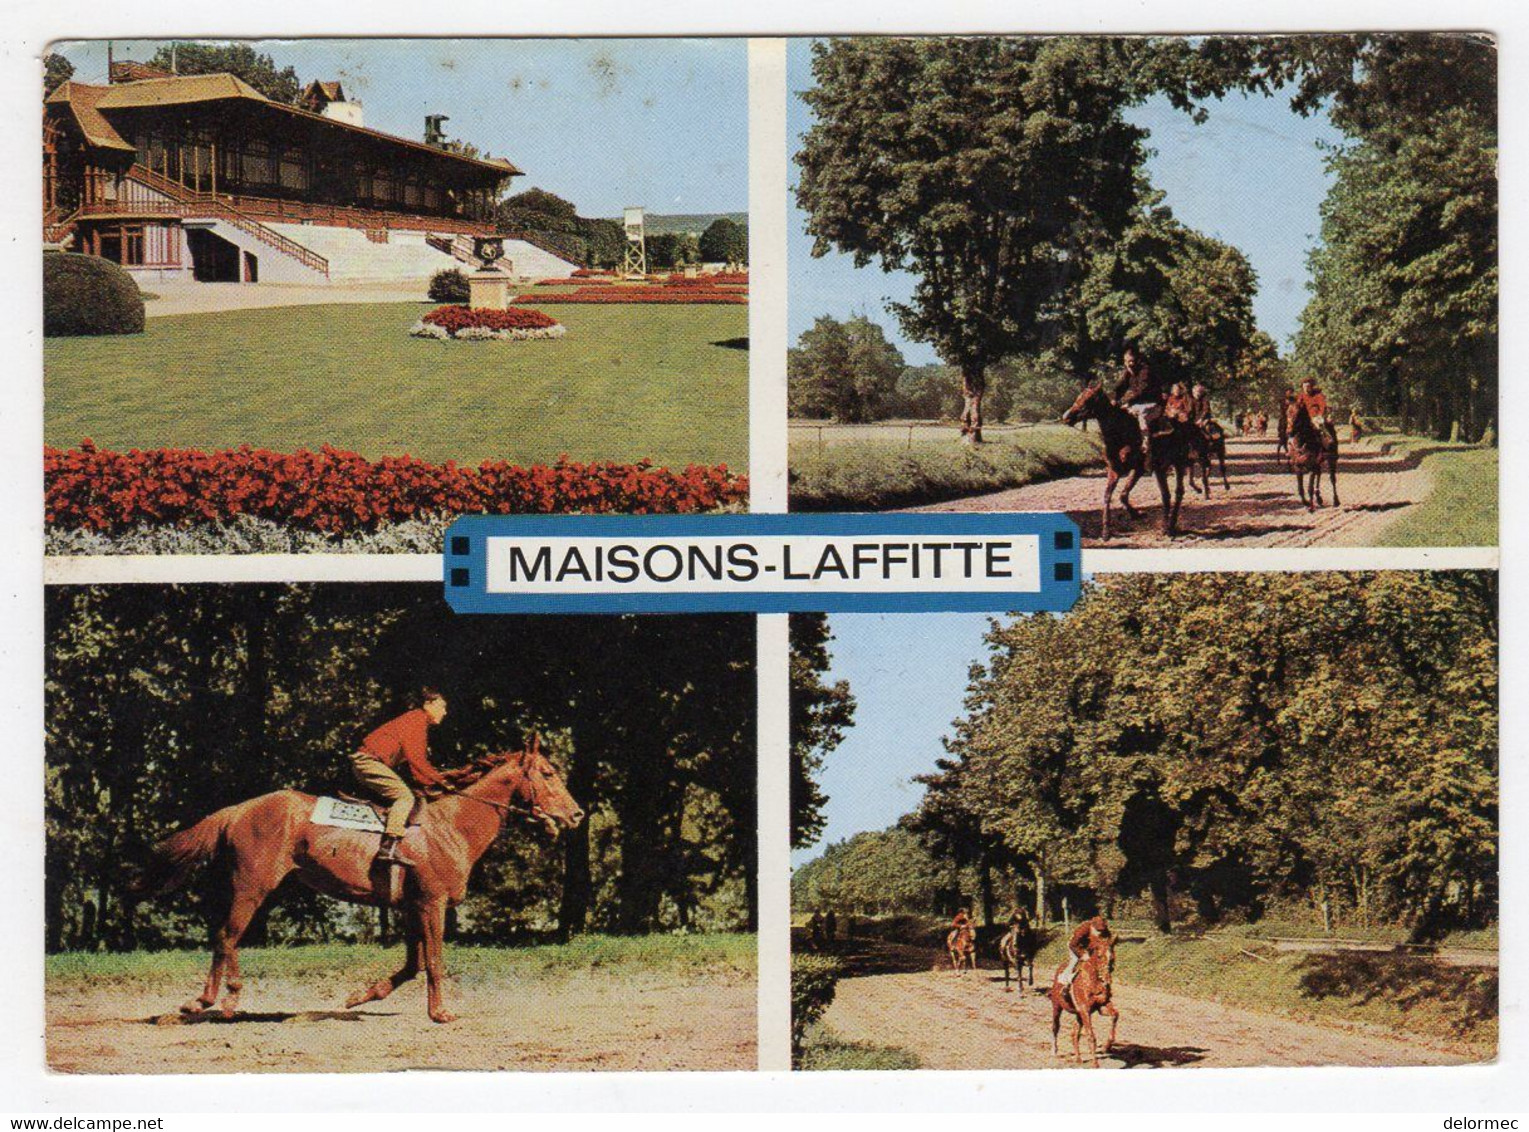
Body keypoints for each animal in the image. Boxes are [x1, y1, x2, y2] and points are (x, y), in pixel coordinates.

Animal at [125, 743, 584, 1027]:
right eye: (547, 772)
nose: (577, 814)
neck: (450, 827)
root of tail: (239, 809)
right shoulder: (432, 904)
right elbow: (435, 962)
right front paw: (440, 1013)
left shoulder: (411, 907)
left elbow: (414, 965)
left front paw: (359, 997)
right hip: (251, 886)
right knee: (227, 935)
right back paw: (213, 1001)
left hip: (257, 889)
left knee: (228, 937)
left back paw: (222, 1001)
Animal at [1045, 930, 1119, 1058]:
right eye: (1099, 956)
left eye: (1112, 958)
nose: (1107, 980)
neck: (1093, 982)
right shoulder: (1084, 1010)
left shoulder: (1101, 1005)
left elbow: (1115, 1014)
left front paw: (1107, 1046)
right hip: (1057, 1006)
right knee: (1055, 1026)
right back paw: (1054, 1050)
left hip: (1078, 1014)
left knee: (1075, 1032)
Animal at [1058, 387, 1198, 541]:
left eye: (1088, 399)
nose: (1067, 416)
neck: (1121, 435)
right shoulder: (1118, 469)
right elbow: (1114, 495)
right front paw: (1108, 530)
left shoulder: (1137, 469)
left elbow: (1122, 494)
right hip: (1164, 467)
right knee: (1170, 493)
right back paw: (1168, 526)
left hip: (1176, 464)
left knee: (1174, 493)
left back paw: (1168, 528)